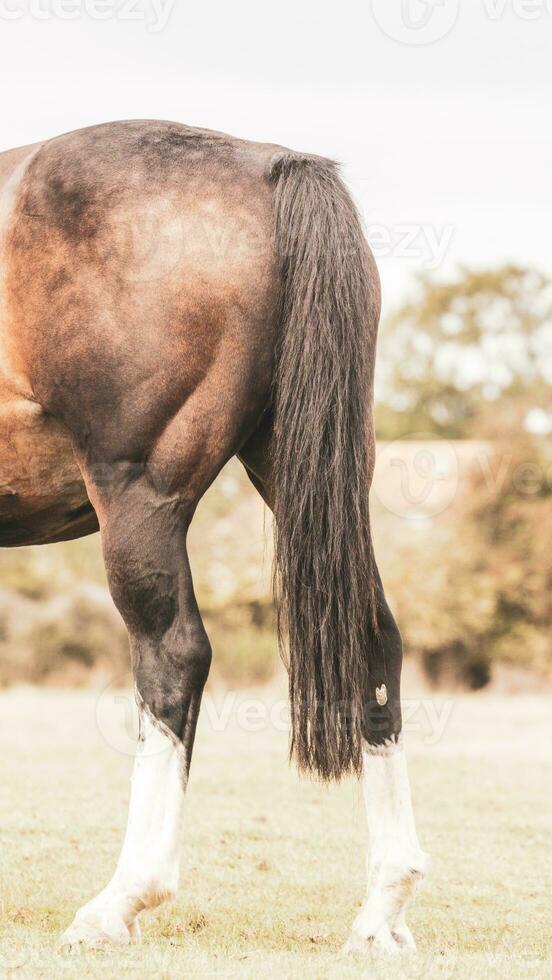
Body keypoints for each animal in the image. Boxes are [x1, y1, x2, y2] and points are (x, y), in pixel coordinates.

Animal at [0, 118, 430, 952]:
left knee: (173, 658)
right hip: (300, 465)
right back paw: (381, 910)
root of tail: (270, 166)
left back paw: (120, 900)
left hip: (139, 497)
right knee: (373, 642)